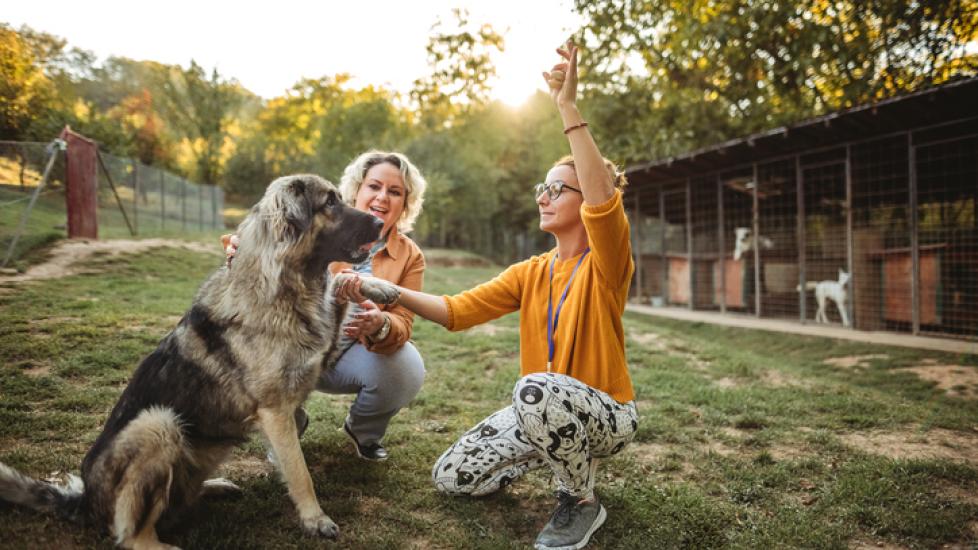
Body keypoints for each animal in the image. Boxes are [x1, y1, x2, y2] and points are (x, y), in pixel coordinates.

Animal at [0, 175, 398, 548]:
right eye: (329, 203)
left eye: (341, 198)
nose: (381, 224)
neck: (283, 284)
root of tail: (83, 501)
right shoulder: (276, 411)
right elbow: (299, 471)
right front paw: (315, 519)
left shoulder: (319, 357)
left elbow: (343, 278)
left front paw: (379, 288)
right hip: (157, 425)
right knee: (131, 535)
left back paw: (214, 486)